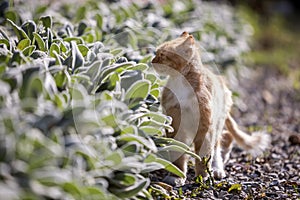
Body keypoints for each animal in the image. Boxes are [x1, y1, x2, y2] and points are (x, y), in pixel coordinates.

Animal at [151, 31, 270, 186]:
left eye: (162, 55)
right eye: (156, 53)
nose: (152, 61)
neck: (181, 83)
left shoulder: (205, 127)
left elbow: (204, 156)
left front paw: (202, 177)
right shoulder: (175, 124)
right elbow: (178, 154)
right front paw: (176, 176)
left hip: (217, 124)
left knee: (220, 143)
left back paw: (217, 169)